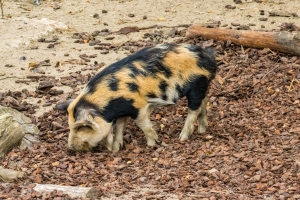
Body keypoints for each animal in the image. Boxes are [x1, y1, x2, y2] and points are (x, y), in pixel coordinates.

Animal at [55, 43, 216, 151]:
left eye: (81, 127)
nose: (70, 148)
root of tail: (208, 57)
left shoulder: (138, 106)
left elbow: (143, 125)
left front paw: (152, 144)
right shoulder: (122, 111)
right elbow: (119, 127)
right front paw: (116, 149)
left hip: (197, 84)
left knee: (194, 109)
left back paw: (182, 137)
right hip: (201, 86)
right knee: (204, 101)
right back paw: (202, 130)